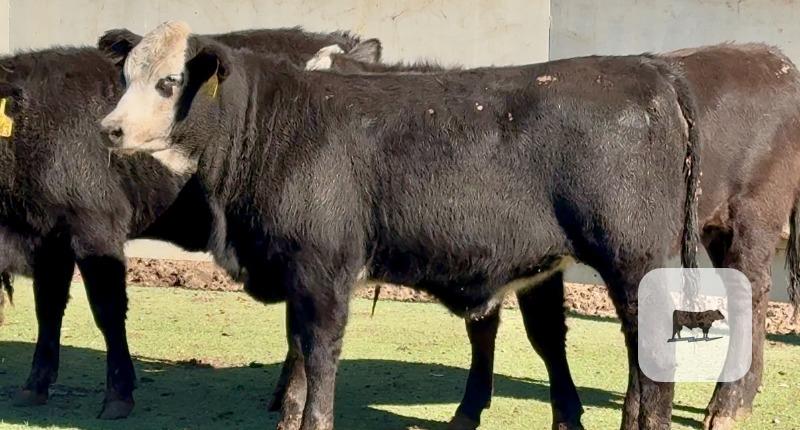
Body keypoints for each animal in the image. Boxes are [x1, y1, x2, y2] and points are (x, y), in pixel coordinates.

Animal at [0, 26, 378, 420]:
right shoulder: (47, 237)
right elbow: (48, 309)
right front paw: (34, 386)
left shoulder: (96, 228)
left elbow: (108, 311)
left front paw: (118, 394)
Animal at [100, 21, 702, 430]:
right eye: (126, 75)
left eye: (169, 82)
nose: (109, 129)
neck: (275, 128)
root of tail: (649, 69)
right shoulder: (297, 272)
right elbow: (297, 359)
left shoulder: (325, 272)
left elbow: (319, 357)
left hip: (635, 259)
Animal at [318, 42, 800, 430]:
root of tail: (771, 57)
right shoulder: (519, 261)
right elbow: (519, 330)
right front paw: (479, 411)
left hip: (745, 220)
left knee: (746, 297)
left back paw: (727, 405)